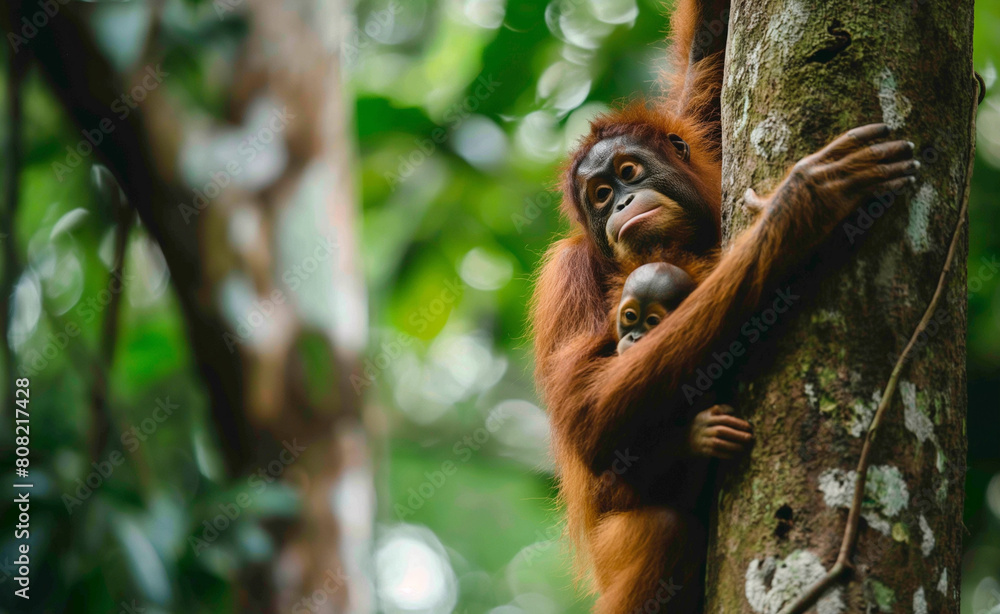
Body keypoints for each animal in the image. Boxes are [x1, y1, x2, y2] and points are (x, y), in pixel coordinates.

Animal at [529, 0, 918, 611]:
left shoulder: (699, 129)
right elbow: (585, 412)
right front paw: (798, 207)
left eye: (628, 171)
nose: (622, 203)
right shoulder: (563, 280)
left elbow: (706, 55)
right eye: (599, 196)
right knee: (662, 529)